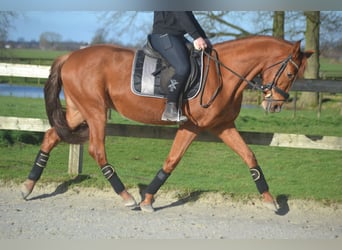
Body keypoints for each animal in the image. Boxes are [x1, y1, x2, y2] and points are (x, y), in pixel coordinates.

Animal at [21, 34, 312, 211]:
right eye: (290, 73)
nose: (275, 105)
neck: (223, 73)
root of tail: (70, 57)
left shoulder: (222, 126)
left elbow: (249, 156)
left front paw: (270, 200)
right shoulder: (192, 126)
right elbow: (173, 160)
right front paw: (147, 199)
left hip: (78, 112)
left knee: (51, 136)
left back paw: (27, 186)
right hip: (95, 112)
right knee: (96, 150)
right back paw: (126, 196)